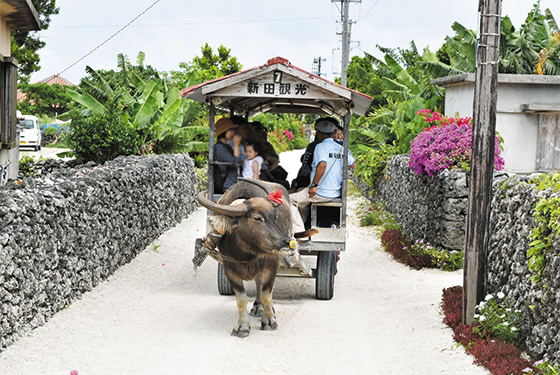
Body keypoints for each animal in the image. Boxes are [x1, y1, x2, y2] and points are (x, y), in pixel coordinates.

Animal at [197, 178, 312, 338]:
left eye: (275, 217)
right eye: (257, 218)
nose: (286, 241)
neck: (246, 251)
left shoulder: (271, 265)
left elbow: (266, 294)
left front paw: (269, 320)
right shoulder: (229, 269)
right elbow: (241, 299)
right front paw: (242, 326)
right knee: (258, 283)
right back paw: (257, 307)